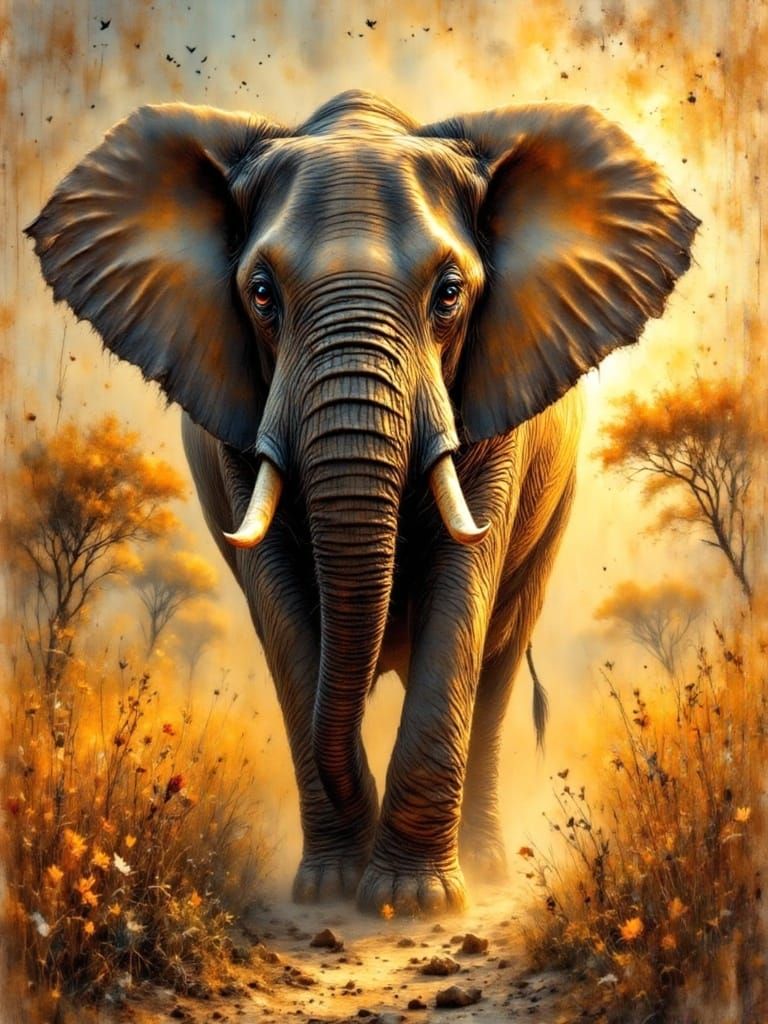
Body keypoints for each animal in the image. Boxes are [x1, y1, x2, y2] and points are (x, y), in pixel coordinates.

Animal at [26, 90, 697, 916]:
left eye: (450, 295)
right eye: (261, 295)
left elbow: (460, 592)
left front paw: (412, 900)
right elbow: (283, 612)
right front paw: (330, 888)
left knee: (498, 663)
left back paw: (485, 868)